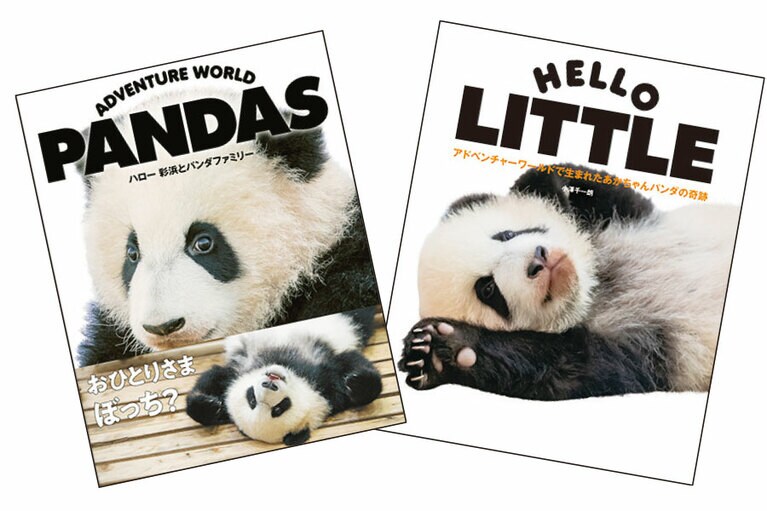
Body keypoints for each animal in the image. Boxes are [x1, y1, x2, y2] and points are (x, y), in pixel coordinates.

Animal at [399, 166, 738, 399]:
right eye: (488, 290)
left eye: (505, 235)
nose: (538, 261)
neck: (596, 290)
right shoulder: (654, 350)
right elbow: (570, 367)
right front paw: (440, 351)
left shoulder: (637, 216)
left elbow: (611, 189)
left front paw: (541, 187)